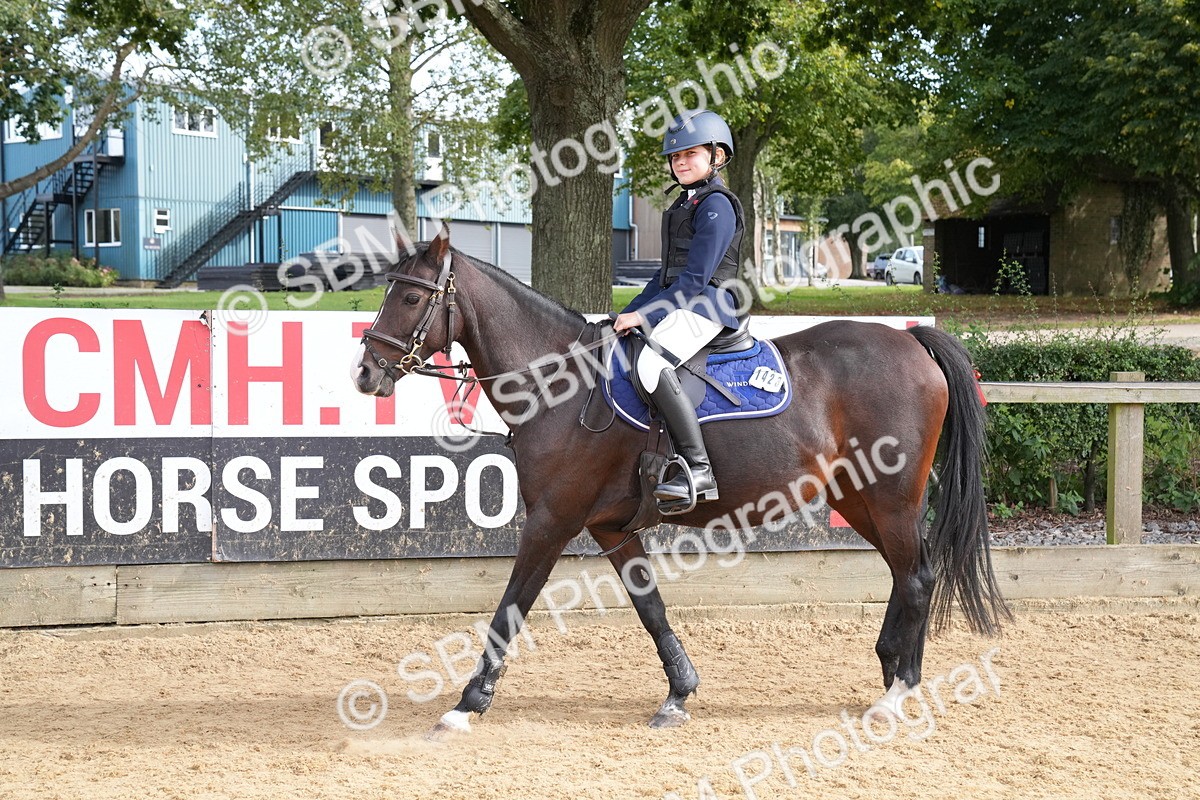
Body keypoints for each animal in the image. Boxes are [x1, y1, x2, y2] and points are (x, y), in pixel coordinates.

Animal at [353, 224, 1010, 735]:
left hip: (889, 498)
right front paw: (679, 693)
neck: (563, 384)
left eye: (410, 296)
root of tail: (909, 338)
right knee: (908, 572)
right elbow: (651, 607)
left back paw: (899, 691)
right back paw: (892, 669)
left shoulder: (552, 521)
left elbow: (511, 606)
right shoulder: (610, 527)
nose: (366, 374)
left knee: (917, 575)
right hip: (859, 498)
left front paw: (467, 705)